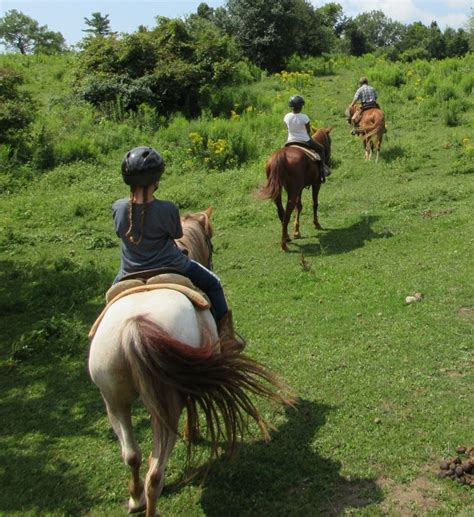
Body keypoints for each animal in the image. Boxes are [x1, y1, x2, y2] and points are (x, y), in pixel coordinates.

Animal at [87, 208, 290, 512]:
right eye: (210, 240)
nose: (211, 259)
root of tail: (134, 328)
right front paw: (192, 433)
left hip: (113, 400)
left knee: (132, 455)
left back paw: (135, 498)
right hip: (164, 404)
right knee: (155, 472)